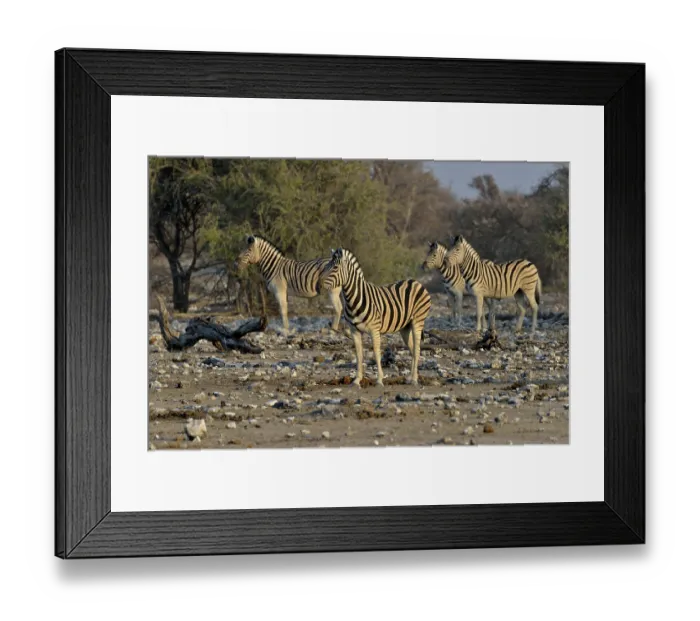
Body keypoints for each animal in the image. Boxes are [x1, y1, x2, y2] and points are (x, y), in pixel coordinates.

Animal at [317, 248, 431, 387]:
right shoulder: (354, 331)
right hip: (405, 327)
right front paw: (357, 380)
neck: (354, 299)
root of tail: (415, 282)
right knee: (412, 349)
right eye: (326, 267)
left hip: (417, 321)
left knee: (417, 349)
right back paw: (411, 377)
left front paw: (379, 380)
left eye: (335, 267)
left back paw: (414, 379)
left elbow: (376, 353)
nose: (318, 286)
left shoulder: (374, 330)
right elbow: (359, 354)